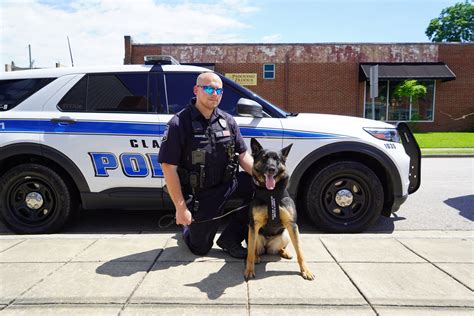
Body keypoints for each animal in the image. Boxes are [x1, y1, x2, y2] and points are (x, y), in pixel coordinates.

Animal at [244, 138, 314, 282]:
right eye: (264, 158)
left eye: (277, 159)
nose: (271, 169)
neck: (271, 193)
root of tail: (267, 247)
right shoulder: (254, 225)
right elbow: (250, 253)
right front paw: (249, 270)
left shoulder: (292, 225)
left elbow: (300, 251)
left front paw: (306, 270)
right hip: (251, 233)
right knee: (253, 249)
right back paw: (257, 257)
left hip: (286, 235)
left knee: (281, 248)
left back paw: (285, 252)